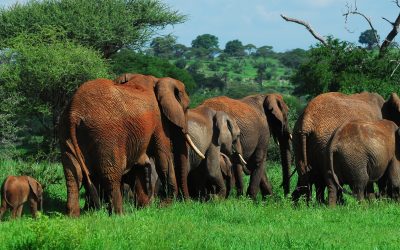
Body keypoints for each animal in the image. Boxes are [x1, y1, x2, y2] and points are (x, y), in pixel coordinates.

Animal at [59, 73, 205, 216]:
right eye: (186, 108)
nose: (188, 204)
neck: (158, 80)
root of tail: (75, 113)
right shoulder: (159, 120)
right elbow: (163, 158)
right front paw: (165, 206)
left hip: (66, 133)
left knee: (73, 175)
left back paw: (73, 216)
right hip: (106, 135)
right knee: (112, 175)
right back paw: (120, 215)